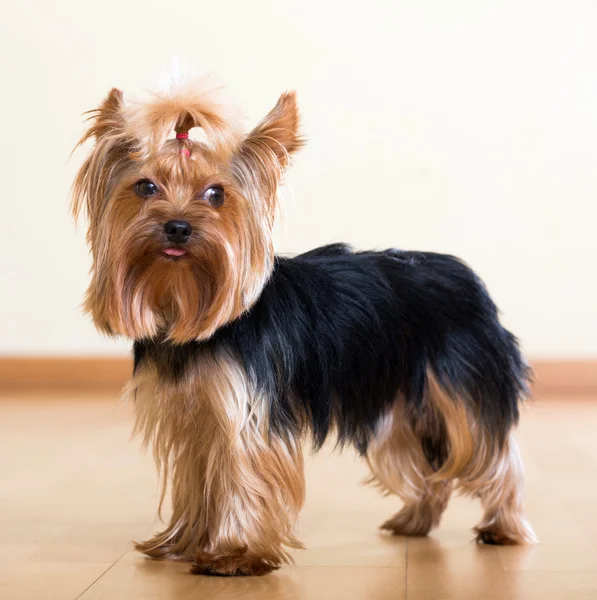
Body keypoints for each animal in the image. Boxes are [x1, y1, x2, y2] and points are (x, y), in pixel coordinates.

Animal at [71, 74, 536, 576]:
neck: (186, 305)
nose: (177, 226)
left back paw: (504, 527)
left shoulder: (247, 414)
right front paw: (185, 543)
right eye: (145, 187)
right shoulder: (195, 417)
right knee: (426, 469)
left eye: (215, 194)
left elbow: (243, 477)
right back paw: (414, 520)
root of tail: (468, 279)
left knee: (490, 454)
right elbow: (199, 483)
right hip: (397, 407)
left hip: (459, 388)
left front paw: (236, 554)